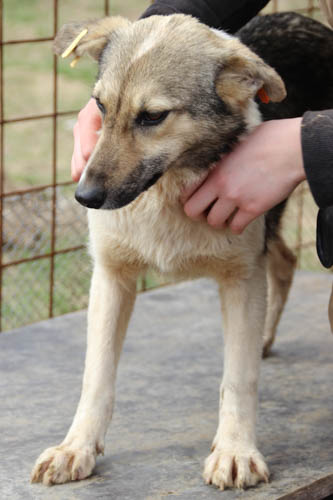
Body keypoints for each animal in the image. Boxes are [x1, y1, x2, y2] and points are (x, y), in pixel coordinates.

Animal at [31, 10, 332, 488]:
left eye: (153, 116)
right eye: (101, 107)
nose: (85, 197)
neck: (166, 191)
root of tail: (302, 17)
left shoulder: (242, 277)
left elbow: (239, 378)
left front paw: (235, 451)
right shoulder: (111, 277)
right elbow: (96, 378)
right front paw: (76, 447)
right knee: (284, 261)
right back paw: (265, 337)